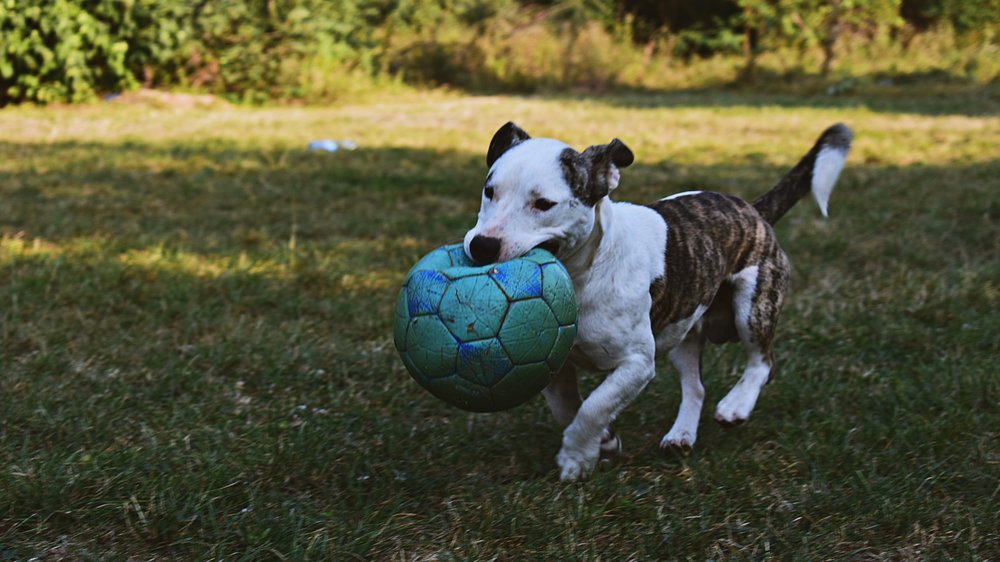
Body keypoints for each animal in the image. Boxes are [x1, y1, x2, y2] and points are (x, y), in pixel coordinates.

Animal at [462, 120, 852, 480]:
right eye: (489, 190)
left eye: (544, 204)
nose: (483, 245)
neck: (583, 274)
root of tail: (753, 211)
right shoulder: (548, 362)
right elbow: (567, 407)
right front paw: (605, 440)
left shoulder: (636, 363)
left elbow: (594, 406)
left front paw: (576, 457)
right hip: (684, 330)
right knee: (695, 386)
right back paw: (681, 435)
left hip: (754, 304)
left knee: (763, 360)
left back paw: (736, 406)